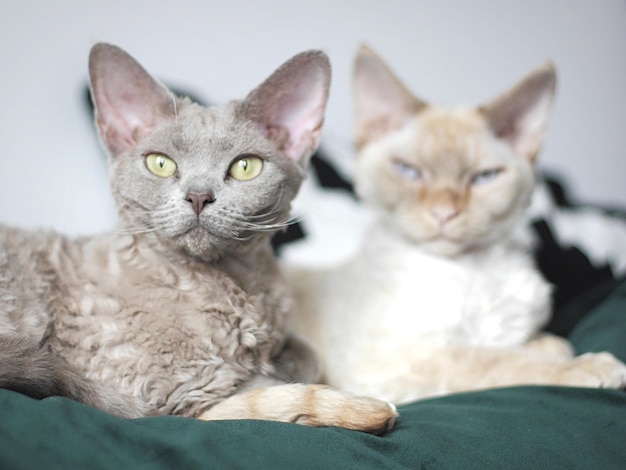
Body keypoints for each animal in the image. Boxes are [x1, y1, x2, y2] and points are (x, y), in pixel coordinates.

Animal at [0, 44, 394, 434]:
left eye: (245, 166)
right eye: (161, 164)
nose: (199, 196)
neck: (242, 290)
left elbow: (308, 357)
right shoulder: (173, 392)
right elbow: (271, 391)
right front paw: (361, 406)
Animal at [286, 45, 624, 404]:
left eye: (484, 177)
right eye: (408, 171)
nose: (443, 213)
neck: (473, 268)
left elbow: (539, 344)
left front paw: (553, 346)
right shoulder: (394, 362)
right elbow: (495, 358)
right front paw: (589, 366)